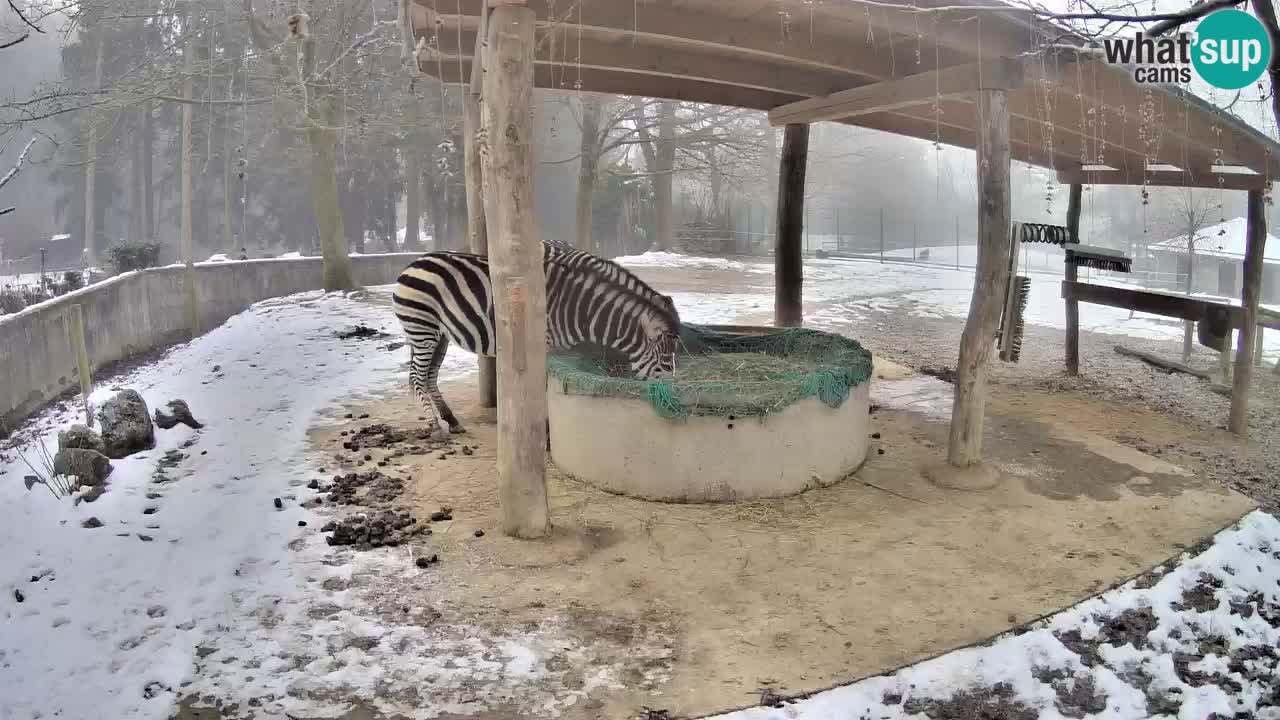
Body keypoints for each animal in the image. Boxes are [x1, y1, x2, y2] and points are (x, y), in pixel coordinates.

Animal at [394, 240, 686, 435]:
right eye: (664, 363)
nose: (674, 403)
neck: (579, 308)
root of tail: (413, 263)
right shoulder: (544, 347)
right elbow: (542, 391)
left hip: (439, 334)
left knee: (429, 376)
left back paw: (451, 420)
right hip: (423, 328)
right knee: (417, 376)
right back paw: (435, 426)